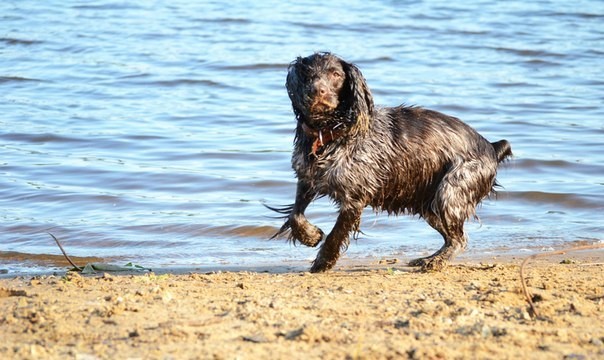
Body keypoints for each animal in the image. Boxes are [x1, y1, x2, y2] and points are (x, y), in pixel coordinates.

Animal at [268, 52, 510, 272]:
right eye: (307, 75)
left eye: (336, 74)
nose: (318, 91)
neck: (328, 133)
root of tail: (491, 146)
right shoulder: (306, 180)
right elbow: (295, 215)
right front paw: (310, 236)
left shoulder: (354, 198)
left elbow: (335, 235)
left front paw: (322, 263)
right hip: (428, 203)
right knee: (452, 238)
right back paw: (428, 258)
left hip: (450, 193)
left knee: (460, 239)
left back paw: (434, 262)